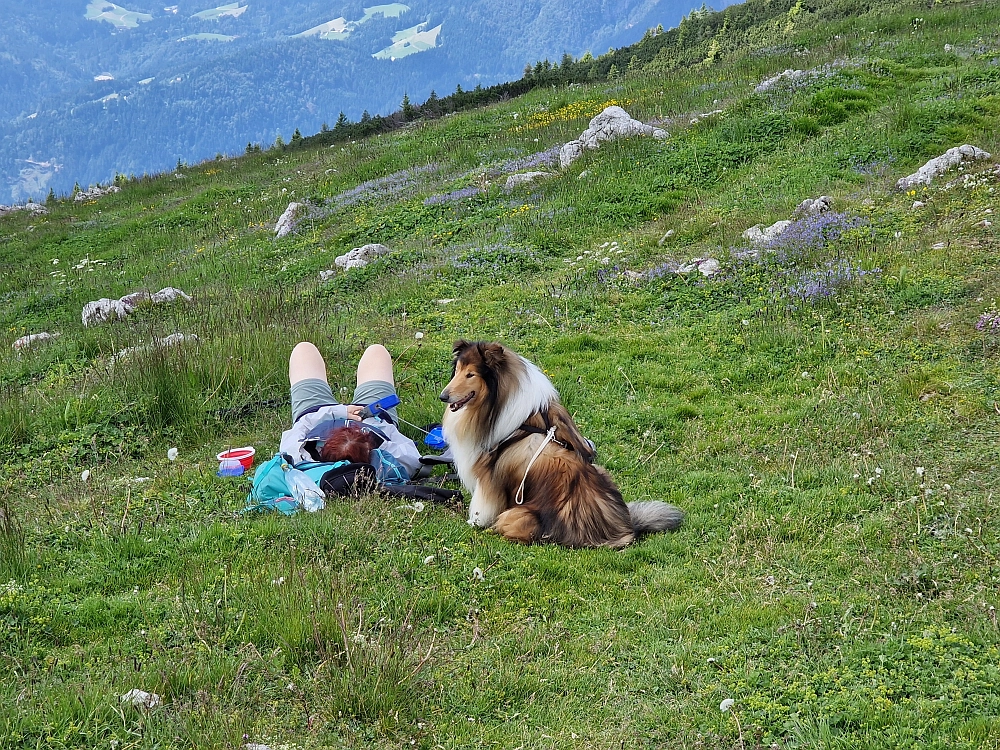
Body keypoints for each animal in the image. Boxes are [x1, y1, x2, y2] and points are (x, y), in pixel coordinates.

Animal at [442, 340, 684, 548]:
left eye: (471, 374)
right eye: (457, 370)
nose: (443, 396)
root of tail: (621, 533)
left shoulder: (489, 478)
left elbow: (481, 507)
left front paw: (473, 523)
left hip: (519, 515)